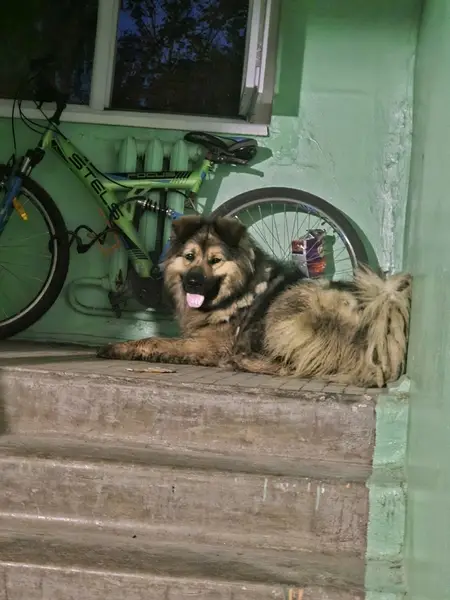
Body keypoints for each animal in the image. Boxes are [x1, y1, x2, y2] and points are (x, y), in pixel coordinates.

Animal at [97, 215, 412, 388]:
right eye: (189, 257)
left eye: (215, 260)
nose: (193, 283)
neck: (234, 293)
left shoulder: (209, 344)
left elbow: (155, 340)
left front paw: (118, 347)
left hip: (292, 303)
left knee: (299, 364)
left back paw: (242, 361)